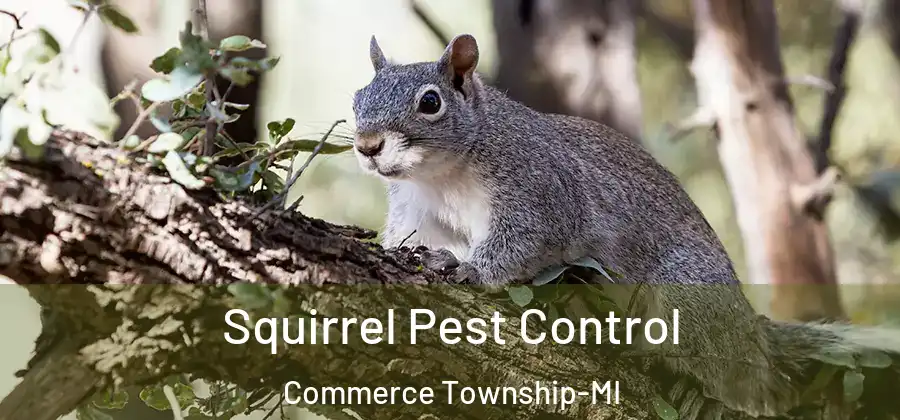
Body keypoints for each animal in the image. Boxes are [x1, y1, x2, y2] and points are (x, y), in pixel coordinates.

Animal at [351, 34, 900, 417]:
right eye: (358, 97)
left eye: (430, 102)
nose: (367, 146)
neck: (442, 174)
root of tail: (751, 333)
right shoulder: (419, 211)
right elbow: (412, 238)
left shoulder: (543, 191)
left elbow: (523, 241)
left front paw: (471, 270)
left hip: (688, 295)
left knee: (737, 379)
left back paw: (702, 390)